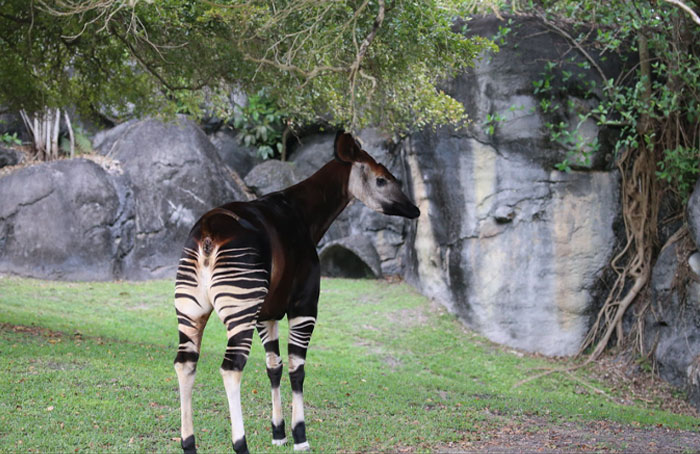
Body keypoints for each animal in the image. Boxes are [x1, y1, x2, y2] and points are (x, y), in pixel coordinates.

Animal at [173, 131, 420, 454]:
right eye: (381, 179)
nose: (415, 210)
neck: (302, 214)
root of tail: (207, 236)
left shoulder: (266, 314)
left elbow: (273, 367)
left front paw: (278, 433)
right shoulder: (304, 305)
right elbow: (297, 368)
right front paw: (299, 436)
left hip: (190, 309)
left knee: (185, 364)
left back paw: (188, 443)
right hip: (239, 309)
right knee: (231, 368)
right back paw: (241, 444)